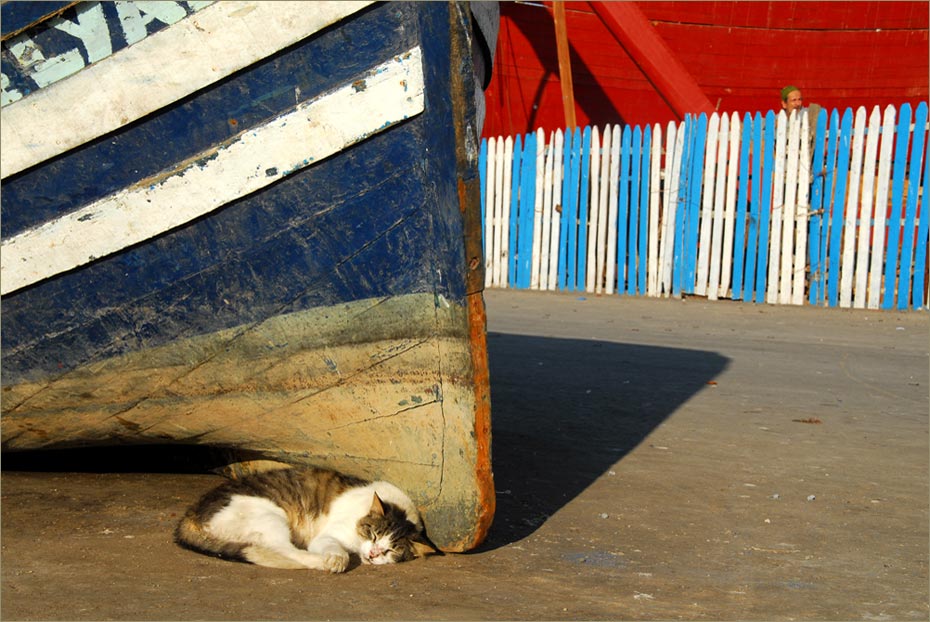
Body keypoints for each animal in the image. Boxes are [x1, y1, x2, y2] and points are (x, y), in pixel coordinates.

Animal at [174, 468, 436, 576]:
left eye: (391, 550)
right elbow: (337, 549)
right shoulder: (328, 536)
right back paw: (320, 562)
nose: (373, 554)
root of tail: (190, 514)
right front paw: (338, 558)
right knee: (287, 551)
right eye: (372, 534)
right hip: (271, 516)